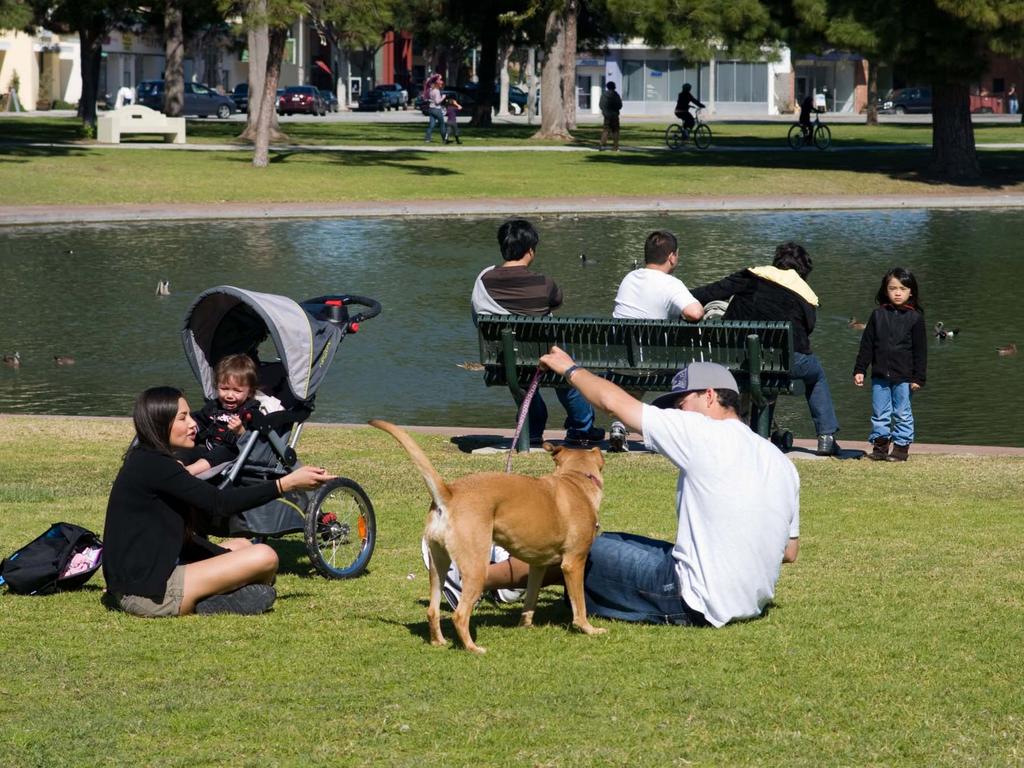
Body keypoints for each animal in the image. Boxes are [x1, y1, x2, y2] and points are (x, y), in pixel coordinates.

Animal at [370, 421, 602, 655]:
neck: (575, 479)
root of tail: (449, 493)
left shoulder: (537, 566)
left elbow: (530, 600)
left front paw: (526, 625)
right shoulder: (573, 563)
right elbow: (579, 604)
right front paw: (588, 629)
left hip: (437, 566)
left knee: (432, 610)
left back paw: (439, 641)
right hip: (476, 568)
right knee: (460, 615)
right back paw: (473, 647)